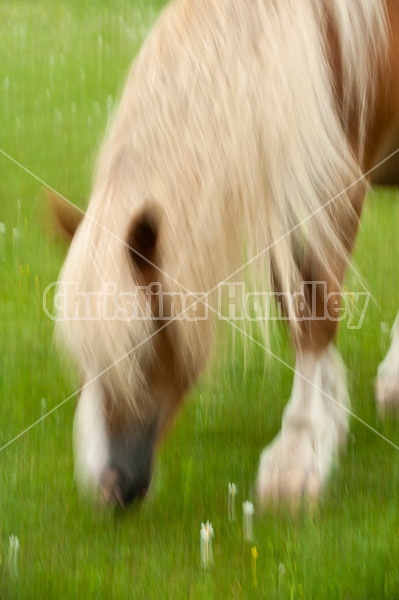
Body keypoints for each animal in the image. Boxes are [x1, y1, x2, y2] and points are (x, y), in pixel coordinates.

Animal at [54, 0, 399, 506]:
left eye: (142, 344)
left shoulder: (332, 187)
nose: (109, 488)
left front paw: (298, 450)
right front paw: (330, 414)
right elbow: (295, 303)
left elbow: (313, 311)